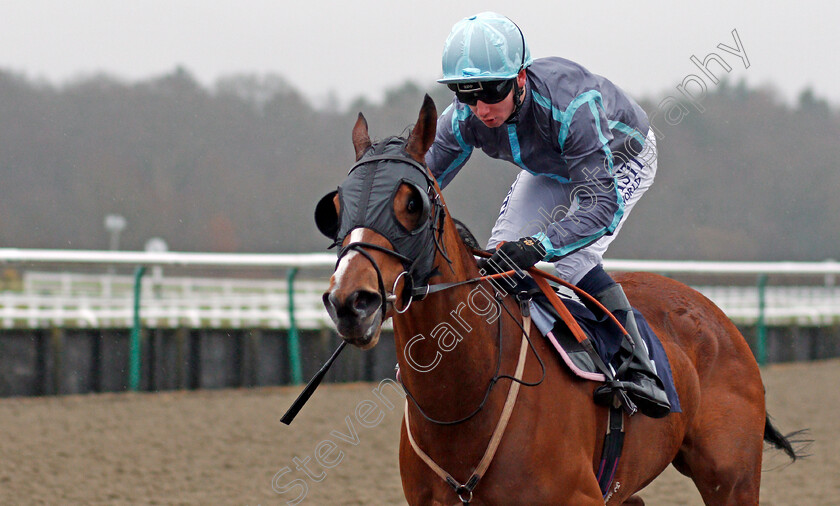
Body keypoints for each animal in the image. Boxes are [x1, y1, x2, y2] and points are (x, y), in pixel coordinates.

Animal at [316, 94, 800, 502]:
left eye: (412, 203)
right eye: (335, 208)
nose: (350, 302)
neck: (465, 402)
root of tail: (715, 316)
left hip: (731, 478)